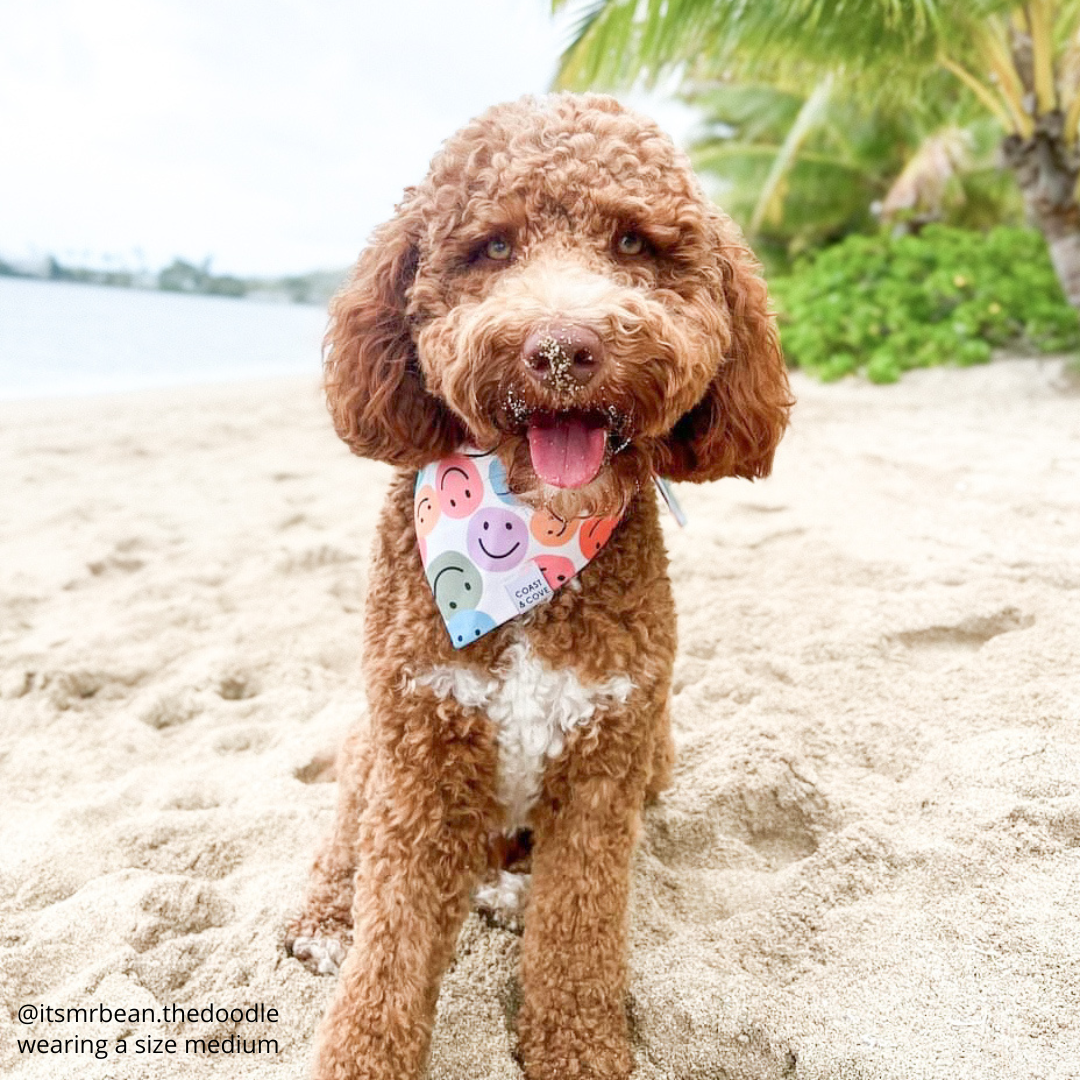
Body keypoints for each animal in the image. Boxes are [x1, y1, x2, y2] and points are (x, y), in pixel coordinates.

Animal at [287, 95, 794, 1080]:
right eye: (492, 247)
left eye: (634, 243)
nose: (562, 348)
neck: (528, 550)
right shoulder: (419, 758)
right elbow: (390, 940)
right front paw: (364, 1038)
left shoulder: (606, 768)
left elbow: (579, 932)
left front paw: (579, 1045)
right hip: (374, 743)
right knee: (345, 840)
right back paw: (326, 917)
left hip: (655, 754)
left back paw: (505, 890)